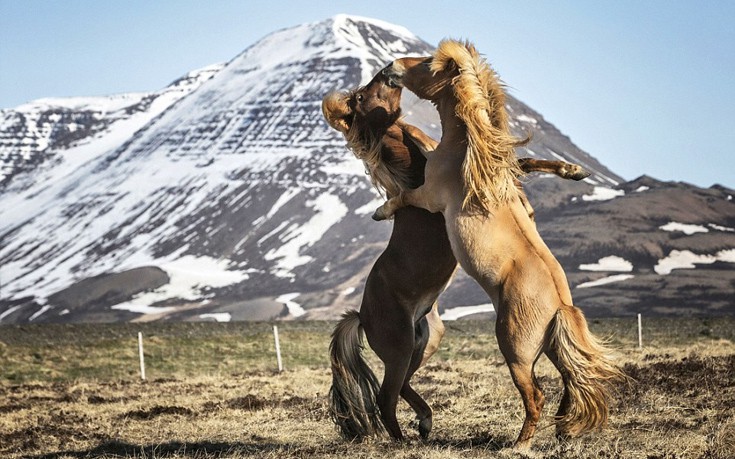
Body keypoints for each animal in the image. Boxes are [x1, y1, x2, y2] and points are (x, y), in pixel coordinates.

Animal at [322, 63, 592, 442]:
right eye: (360, 97)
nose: (386, 71)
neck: (403, 149)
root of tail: (362, 315)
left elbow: (522, 161)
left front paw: (573, 170)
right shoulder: (434, 190)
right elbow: (406, 196)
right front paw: (381, 210)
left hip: (426, 340)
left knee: (402, 386)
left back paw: (424, 421)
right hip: (400, 346)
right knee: (386, 397)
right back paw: (404, 441)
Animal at [370, 40, 624, 450]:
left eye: (426, 63)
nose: (390, 66)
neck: (463, 149)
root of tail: (559, 306)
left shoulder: (430, 196)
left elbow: (404, 196)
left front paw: (380, 211)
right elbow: (527, 160)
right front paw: (574, 170)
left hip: (515, 350)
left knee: (536, 396)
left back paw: (520, 444)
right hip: (551, 349)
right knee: (568, 386)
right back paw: (562, 431)